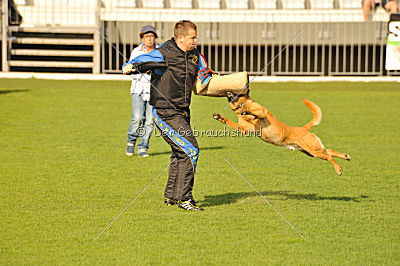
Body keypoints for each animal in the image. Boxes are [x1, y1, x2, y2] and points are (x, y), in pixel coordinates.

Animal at [212, 92, 350, 176]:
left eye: (237, 93)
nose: (227, 92)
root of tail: (304, 128)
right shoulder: (243, 129)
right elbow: (231, 121)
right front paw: (220, 117)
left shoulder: (261, 112)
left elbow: (255, 112)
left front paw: (248, 112)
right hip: (310, 152)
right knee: (329, 151)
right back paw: (345, 156)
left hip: (314, 151)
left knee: (329, 156)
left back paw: (338, 169)